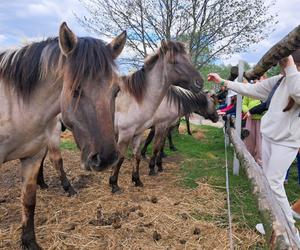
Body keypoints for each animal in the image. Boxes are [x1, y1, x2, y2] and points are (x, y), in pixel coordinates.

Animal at [0, 22, 126, 249]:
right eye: (75, 90)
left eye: (116, 90)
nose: (106, 158)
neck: (15, 106)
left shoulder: (32, 158)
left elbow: (29, 201)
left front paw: (29, 242)